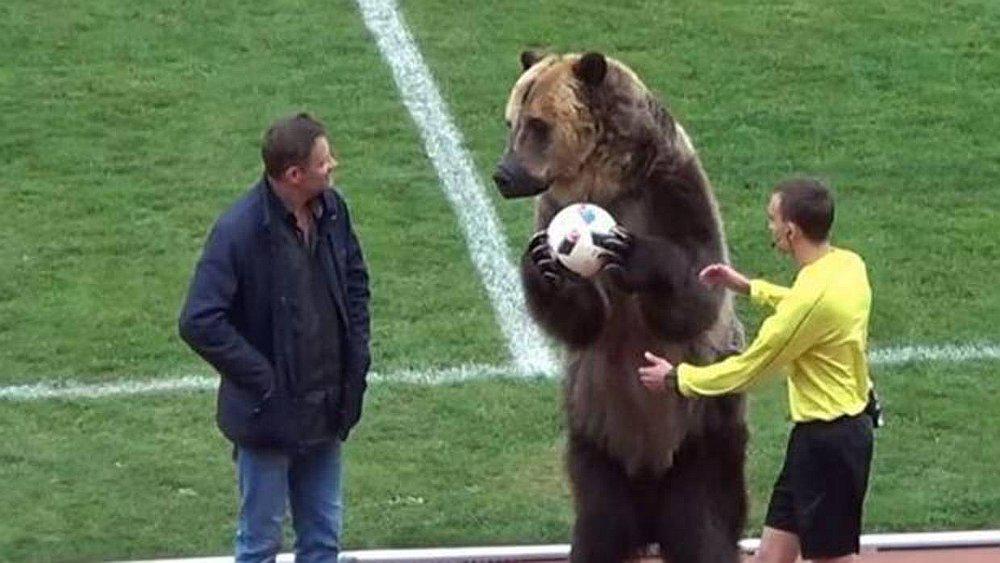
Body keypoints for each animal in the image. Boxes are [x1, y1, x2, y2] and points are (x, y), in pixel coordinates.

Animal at [493, 51, 749, 563]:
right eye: (511, 121)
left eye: (538, 125)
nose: (503, 175)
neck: (606, 182)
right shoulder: (551, 206)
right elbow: (583, 322)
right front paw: (545, 266)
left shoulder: (672, 190)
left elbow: (697, 287)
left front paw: (634, 256)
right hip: (595, 436)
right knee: (599, 524)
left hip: (702, 434)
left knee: (704, 523)